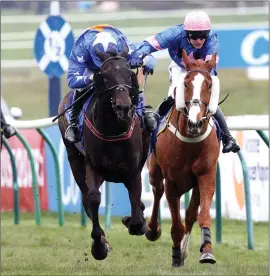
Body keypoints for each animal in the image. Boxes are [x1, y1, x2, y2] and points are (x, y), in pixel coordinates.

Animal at [58, 45, 150, 260]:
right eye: (105, 76)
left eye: (129, 74)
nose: (124, 107)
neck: (114, 130)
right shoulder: (93, 167)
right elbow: (92, 198)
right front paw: (99, 246)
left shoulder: (133, 171)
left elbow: (136, 208)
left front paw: (137, 222)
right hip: (74, 159)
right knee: (85, 197)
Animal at [147, 50, 220, 268]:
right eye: (186, 84)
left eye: (209, 85)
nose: (195, 122)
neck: (190, 141)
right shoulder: (172, 182)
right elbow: (176, 224)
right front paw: (176, 255)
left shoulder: (206, 175)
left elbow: (200, 215)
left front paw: (207, 251)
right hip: (154, 170)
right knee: (157, 191)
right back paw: (152, 229)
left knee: (190, 214)